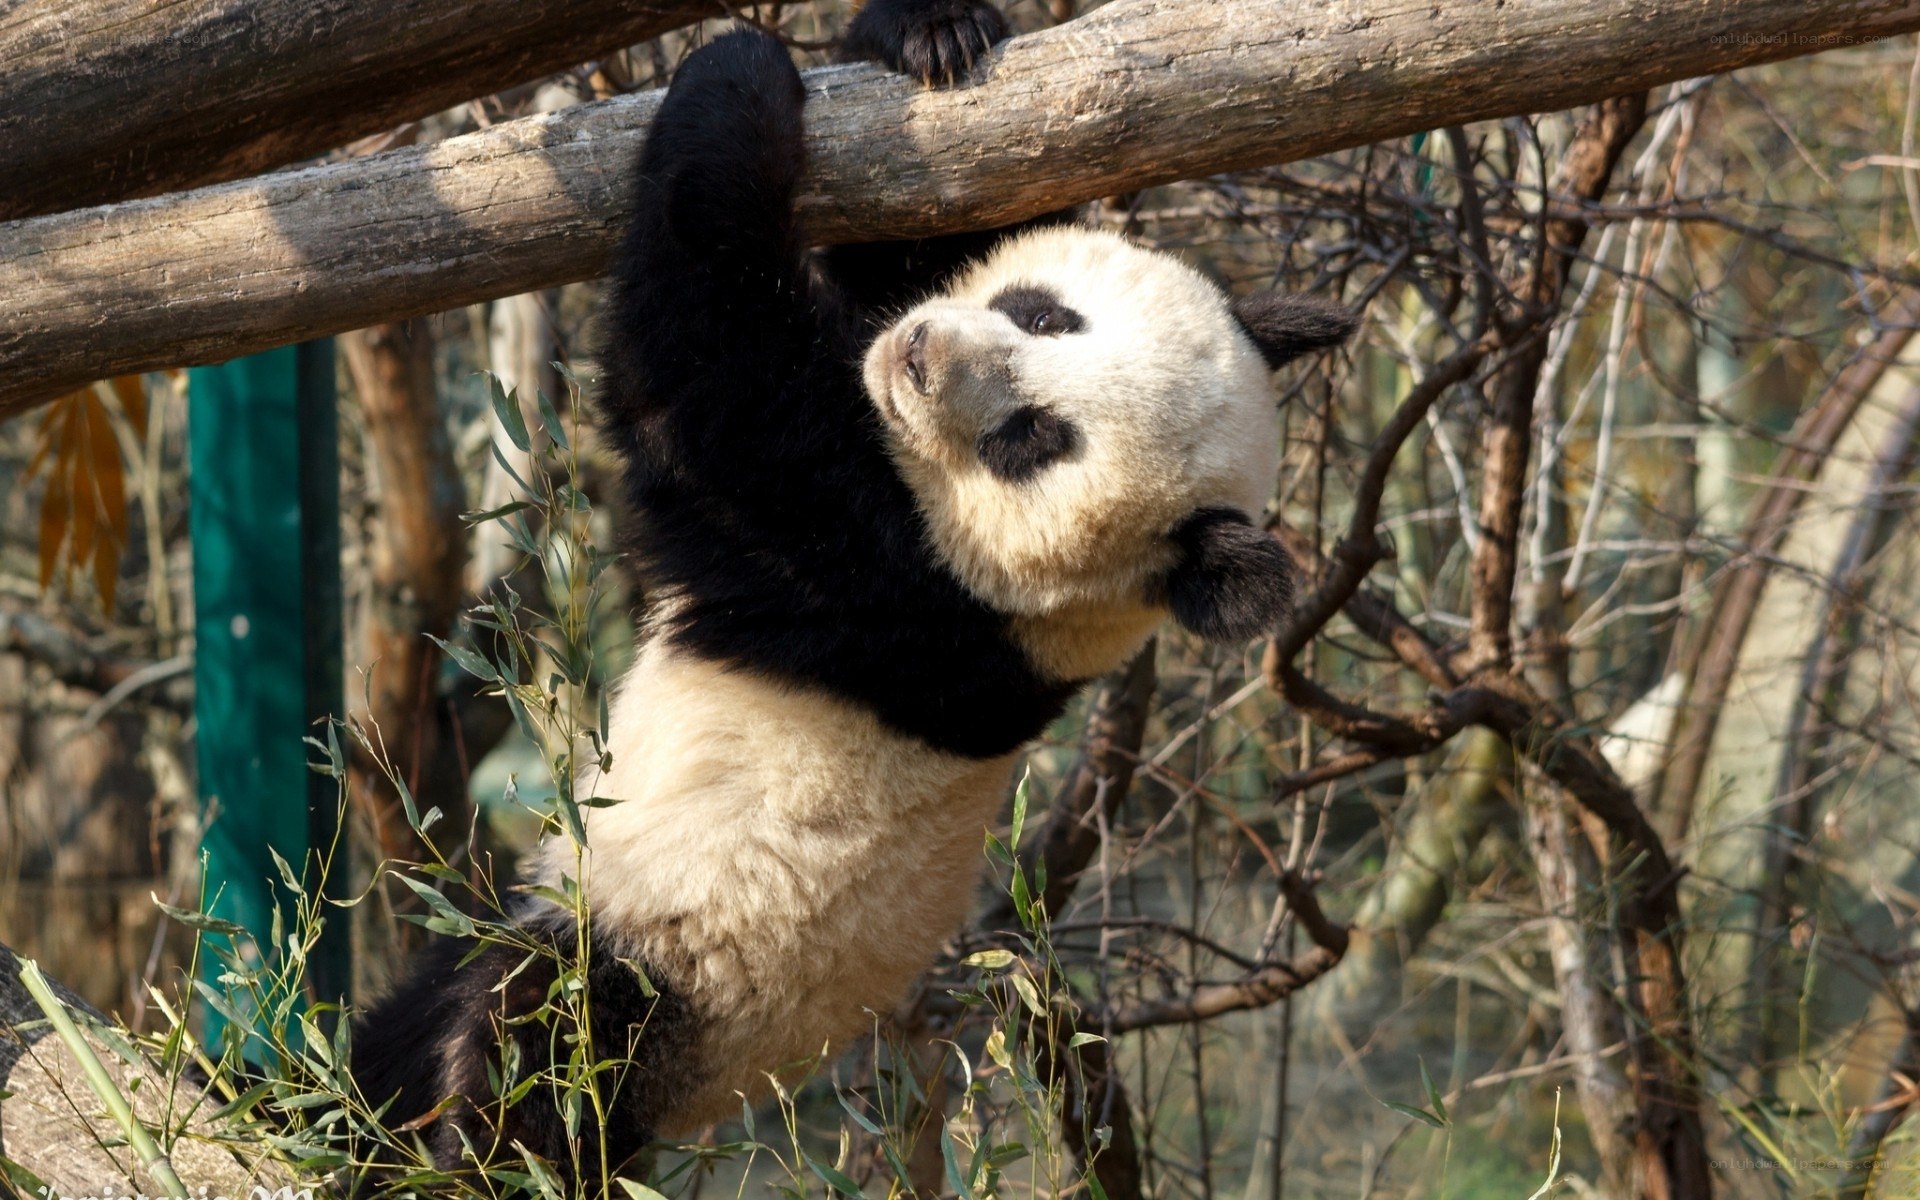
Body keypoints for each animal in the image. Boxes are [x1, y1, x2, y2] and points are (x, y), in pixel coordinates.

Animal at [351, 0, 1354, 1177]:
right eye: (1044, 314)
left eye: (1032, 438)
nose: (918, 352)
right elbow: (915, 240)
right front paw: (930, 36)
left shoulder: (894, 586)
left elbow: (706, 384)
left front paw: (739, 74)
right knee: (405, 1030)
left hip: (666, 979)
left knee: (537, 1040)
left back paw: (470, 1133)